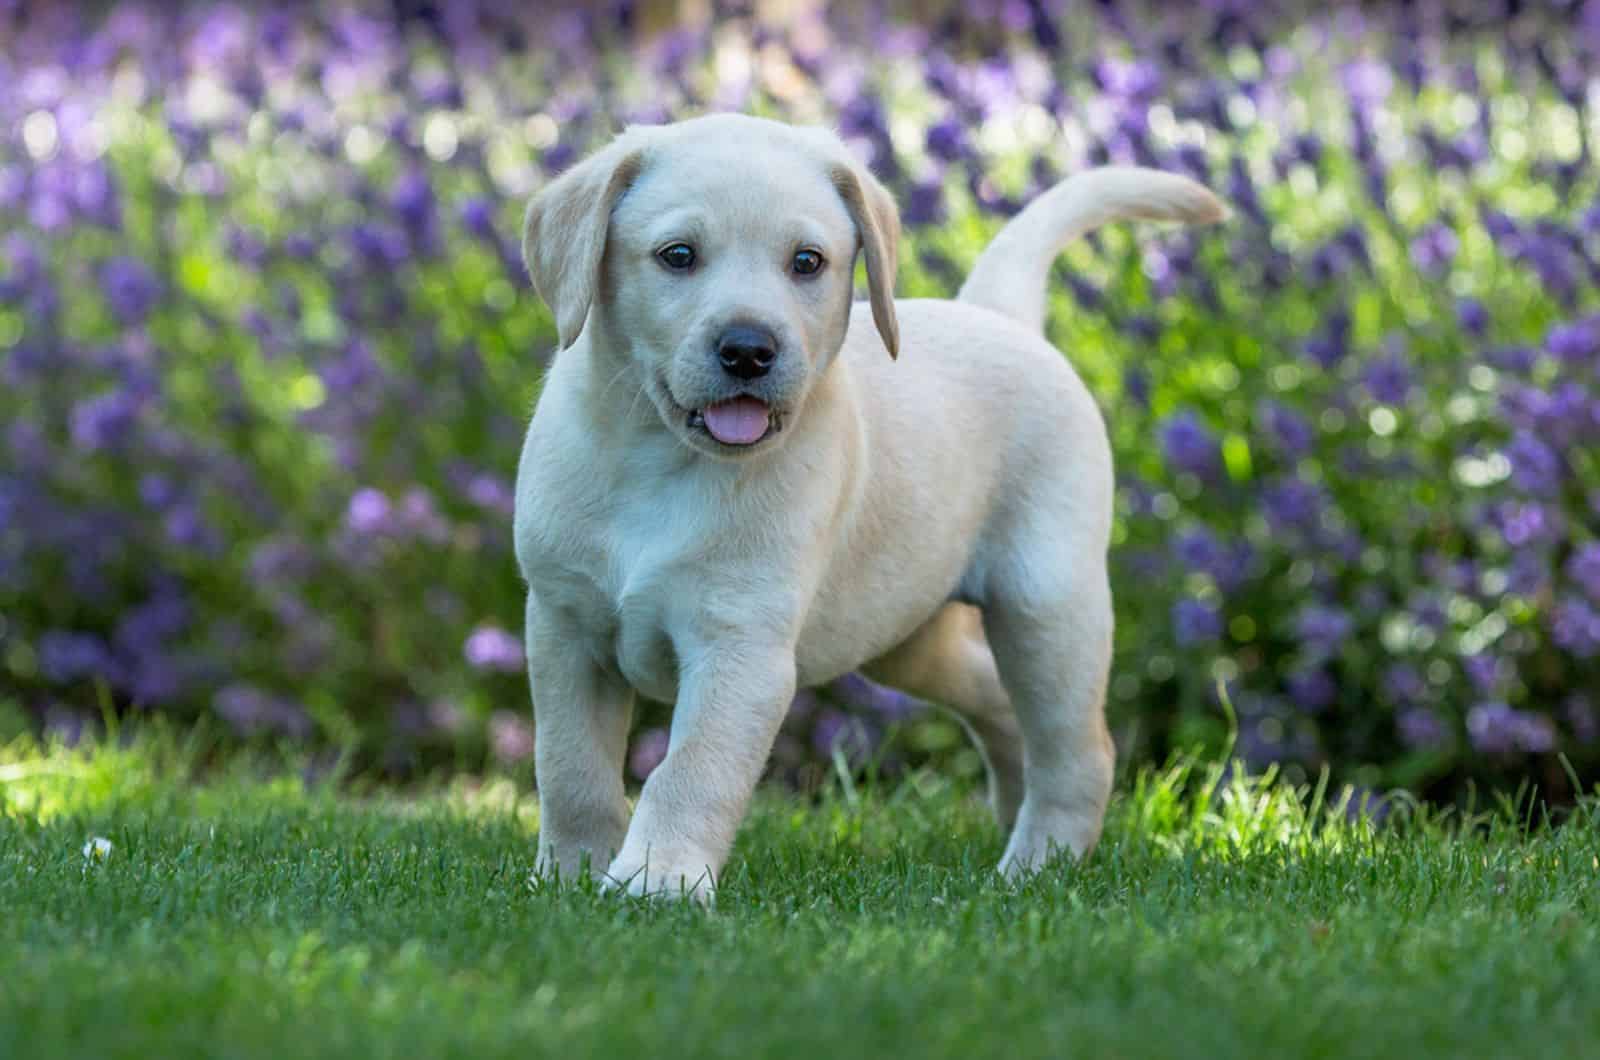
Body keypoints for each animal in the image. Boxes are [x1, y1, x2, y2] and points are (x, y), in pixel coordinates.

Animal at [512, 112, 1222, 903]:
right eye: (678, 256)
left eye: (807, 262)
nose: (749, 350)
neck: (656, 458)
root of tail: (998, 316)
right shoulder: (564, 627)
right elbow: (569, 768)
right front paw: (566, 877)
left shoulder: (741, 649)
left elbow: (691, 770)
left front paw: (657, 882)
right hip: (908, 636)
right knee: (1002, 706)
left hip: (1047, 605)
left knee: (1078, 748)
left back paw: (1037, 865)